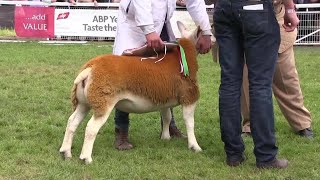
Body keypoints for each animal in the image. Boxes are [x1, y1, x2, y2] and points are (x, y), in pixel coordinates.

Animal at [58, 21, 206, 165]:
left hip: (84, 102)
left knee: (72, 122)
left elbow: (167, 118)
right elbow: (189, 122)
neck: (182, 56)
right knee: (91, 128)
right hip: (103, 101)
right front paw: (195, 146)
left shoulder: (164, 99)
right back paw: (86, 158)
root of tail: (90, 68)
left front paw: (165, 138)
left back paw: (66, 152)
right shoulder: (189, 97)